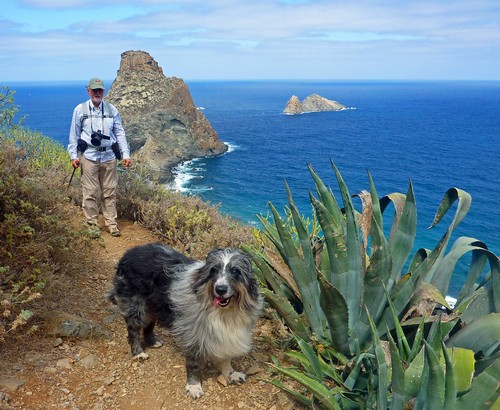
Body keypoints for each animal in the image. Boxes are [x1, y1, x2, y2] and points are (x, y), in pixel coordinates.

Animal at [107, 243, 264, 398]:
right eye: (213, 270)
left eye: (236, 271)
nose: (220, 289)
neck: (224, 311)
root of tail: (129, 252)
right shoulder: (192, 334)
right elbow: (193, 364)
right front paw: (194, 386)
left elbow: (226, 358)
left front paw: (230, 374)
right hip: (135, 305)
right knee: (133, 329)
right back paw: (138, 352)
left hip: (155, 303)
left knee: (149, 324)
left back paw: (152, 341)